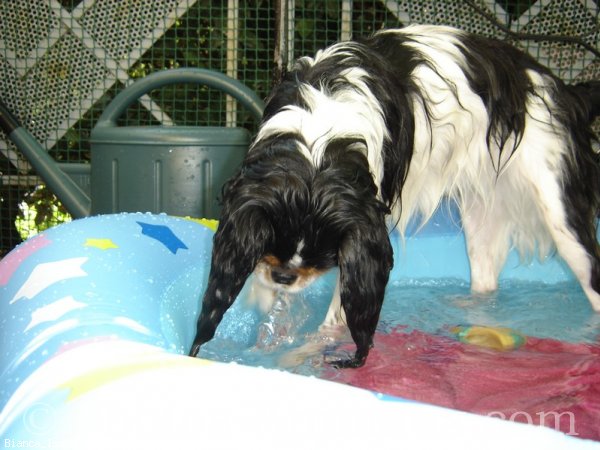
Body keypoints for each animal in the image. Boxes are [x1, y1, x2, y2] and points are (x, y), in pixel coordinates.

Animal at [191, 24, 600, 368]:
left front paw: (304, 353)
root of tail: (561, 87)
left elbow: (338, 312)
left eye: (324, 257)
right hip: (481, 218)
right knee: (485, 279)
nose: (283, 276)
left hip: (560, 210)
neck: (320, 138)